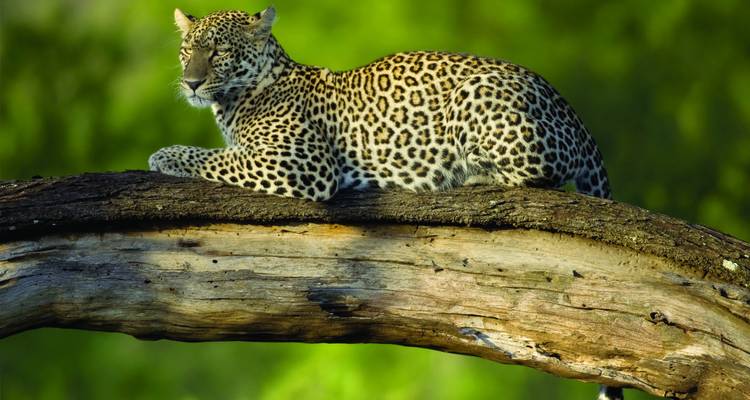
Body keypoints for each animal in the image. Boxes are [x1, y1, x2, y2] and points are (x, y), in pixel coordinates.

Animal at [149, 6, 612, 203]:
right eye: (186, 50)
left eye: (219, 51)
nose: (191, 82)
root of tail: (572, 112)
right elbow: (225, 155)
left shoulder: (302, 163)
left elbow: (217, 157)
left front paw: (164, 155)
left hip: (476, 92)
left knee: (540, 175)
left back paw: (470, 176)